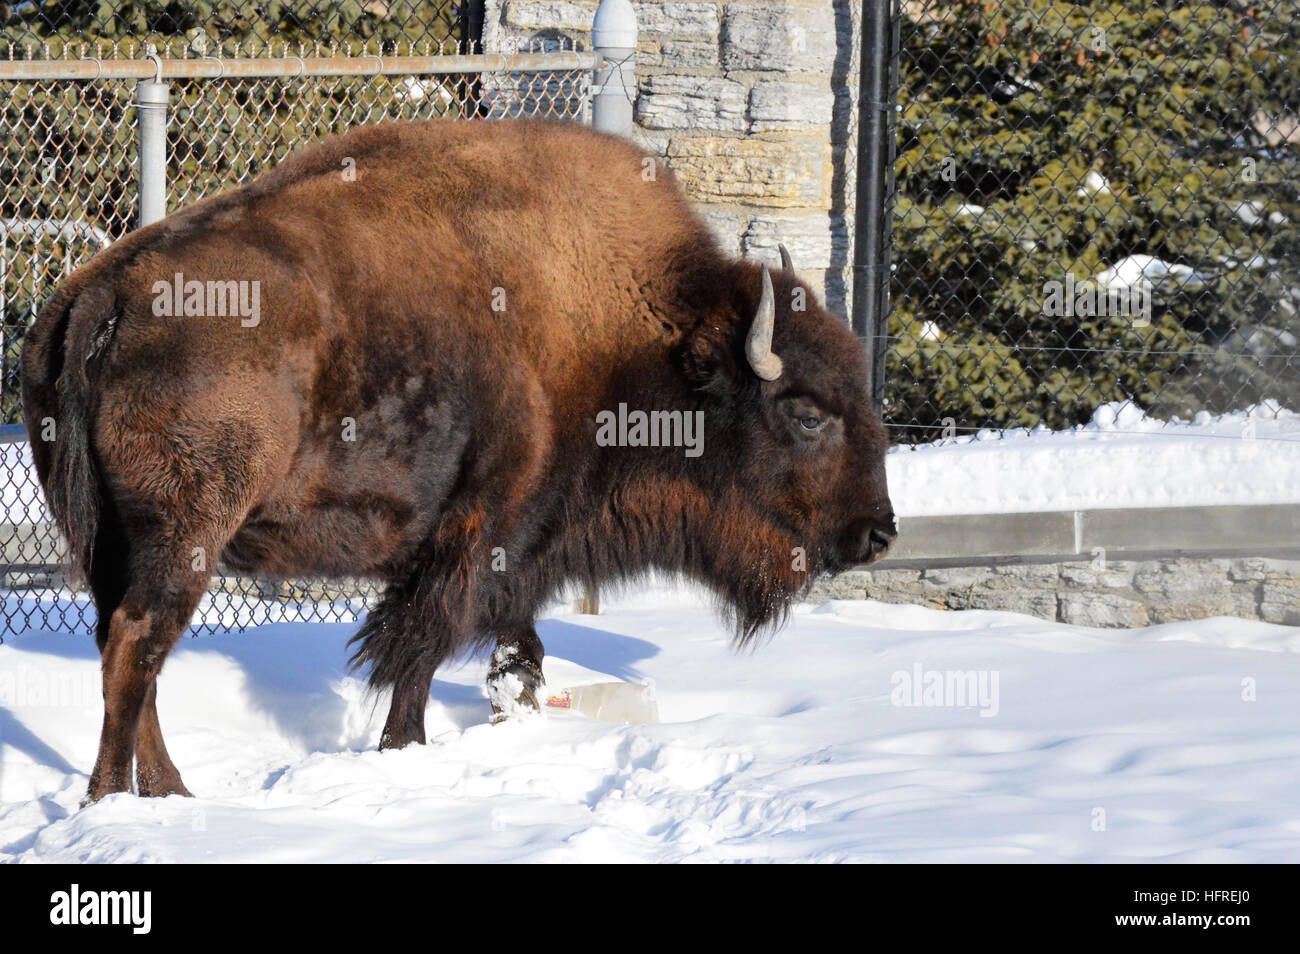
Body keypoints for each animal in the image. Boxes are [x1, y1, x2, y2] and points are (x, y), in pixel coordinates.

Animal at [22, 118, 896, 803]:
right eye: (808, 414)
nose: (880, 533)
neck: (644, 341)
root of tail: (107, 292)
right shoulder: (478, 535)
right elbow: (421, 651)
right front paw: (404, 748)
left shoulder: (514, 553)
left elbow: (512, 647)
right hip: (187, 534)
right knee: (138, 643)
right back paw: (115, 799)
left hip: (114, 541)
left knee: (124, 644)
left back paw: (168, 790)